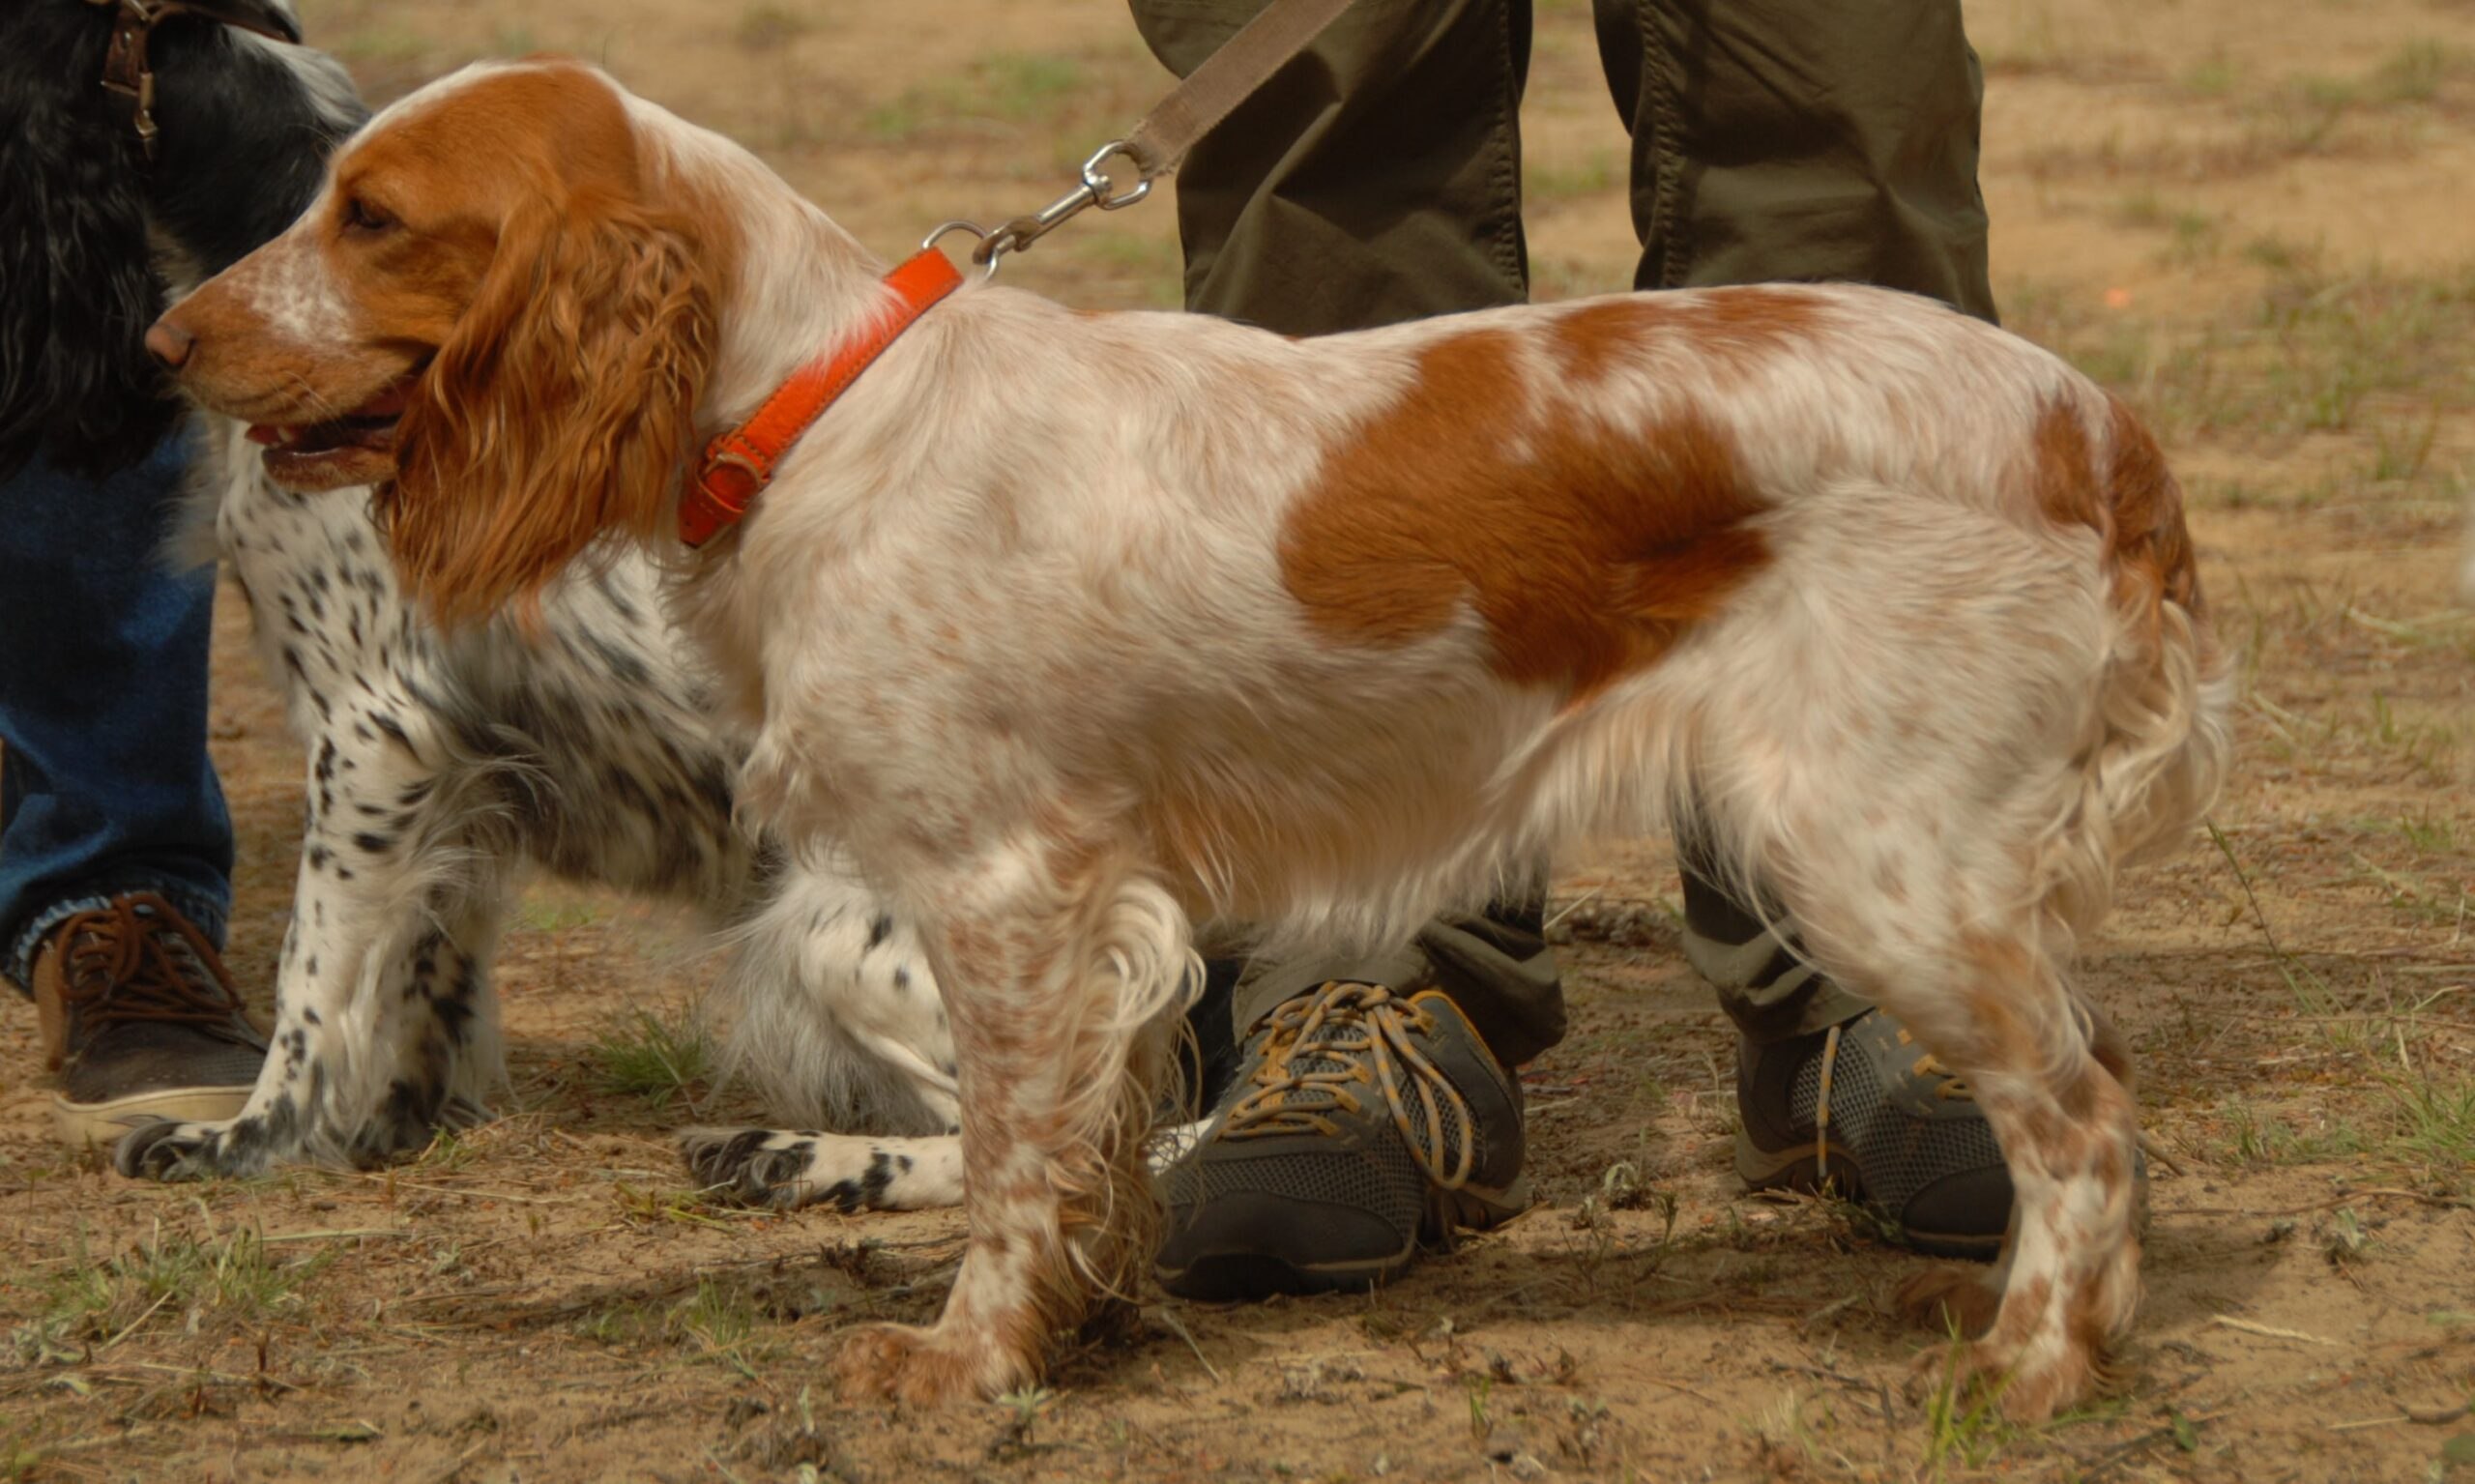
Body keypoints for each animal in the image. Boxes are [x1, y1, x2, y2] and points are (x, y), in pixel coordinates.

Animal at [2, 0, 965, 1207]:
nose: (166, 347)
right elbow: (428, 964)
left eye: (372, 218)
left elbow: (310, 970)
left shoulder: (369, 731)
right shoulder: (454, 768)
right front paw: (391, 1126)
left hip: (827, 929)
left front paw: (248, 1140)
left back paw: (793, 1154)